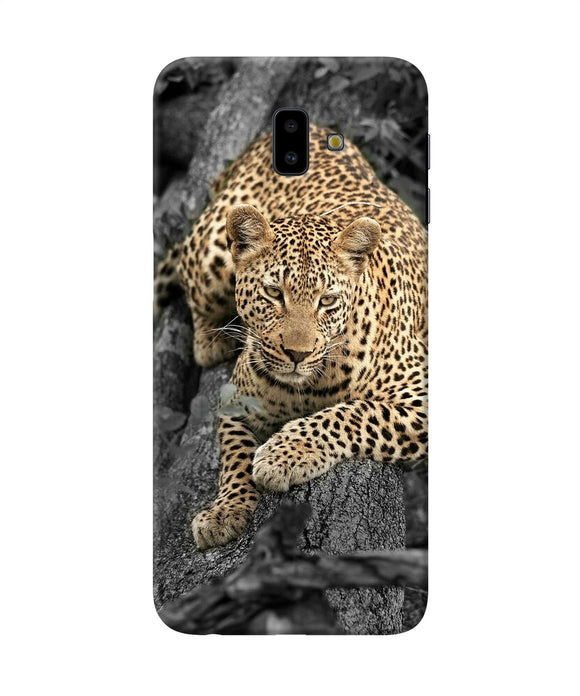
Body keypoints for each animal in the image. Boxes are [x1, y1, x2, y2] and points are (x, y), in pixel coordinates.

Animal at [155, 123, 428, 550]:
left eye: (326, 300)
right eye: (273, 293)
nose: (297, 354)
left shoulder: (421, 395)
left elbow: (353, 413)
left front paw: (282, 455)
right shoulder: (235, 400)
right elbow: (234, 454)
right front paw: (225, 511)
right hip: (211, 251)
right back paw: (211, 339)